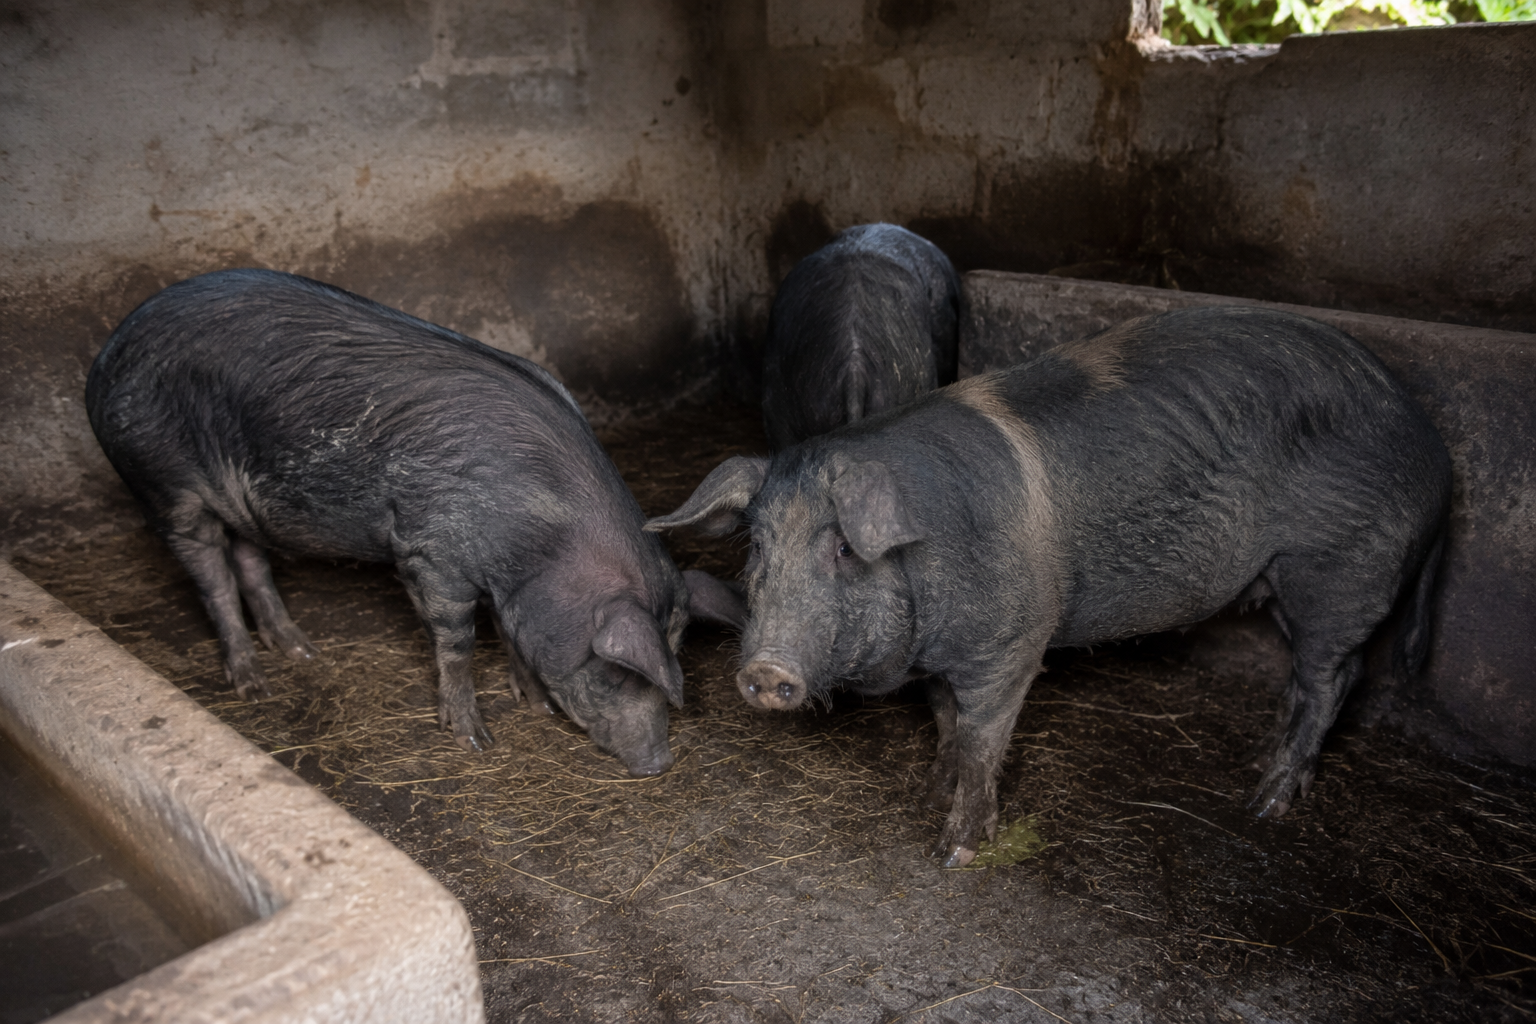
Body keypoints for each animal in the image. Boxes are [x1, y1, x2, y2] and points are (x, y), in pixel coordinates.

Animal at [86, 268, 745, 776]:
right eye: (615, 675)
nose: (658, 763)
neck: (542, 545)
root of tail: (104, 358)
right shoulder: (430, 553)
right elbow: (458, 640)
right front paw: (475, 738)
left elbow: (510, 632)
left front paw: (532, 705)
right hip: (162, 483)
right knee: (212, 577)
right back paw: (254, 683)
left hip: (244, 503)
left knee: (250, 557)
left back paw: (300, 652)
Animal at [648, 305, 1452, 865]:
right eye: (757, 546)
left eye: (844, 548)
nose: (763, 671)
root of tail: (1427, 436)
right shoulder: (945, 656)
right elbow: (944, 719)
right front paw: (934, 784)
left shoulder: (1012, 643)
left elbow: (981, 741)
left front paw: (954, 851)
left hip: (1341, 569)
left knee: (1332, 677)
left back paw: (1267, 803)